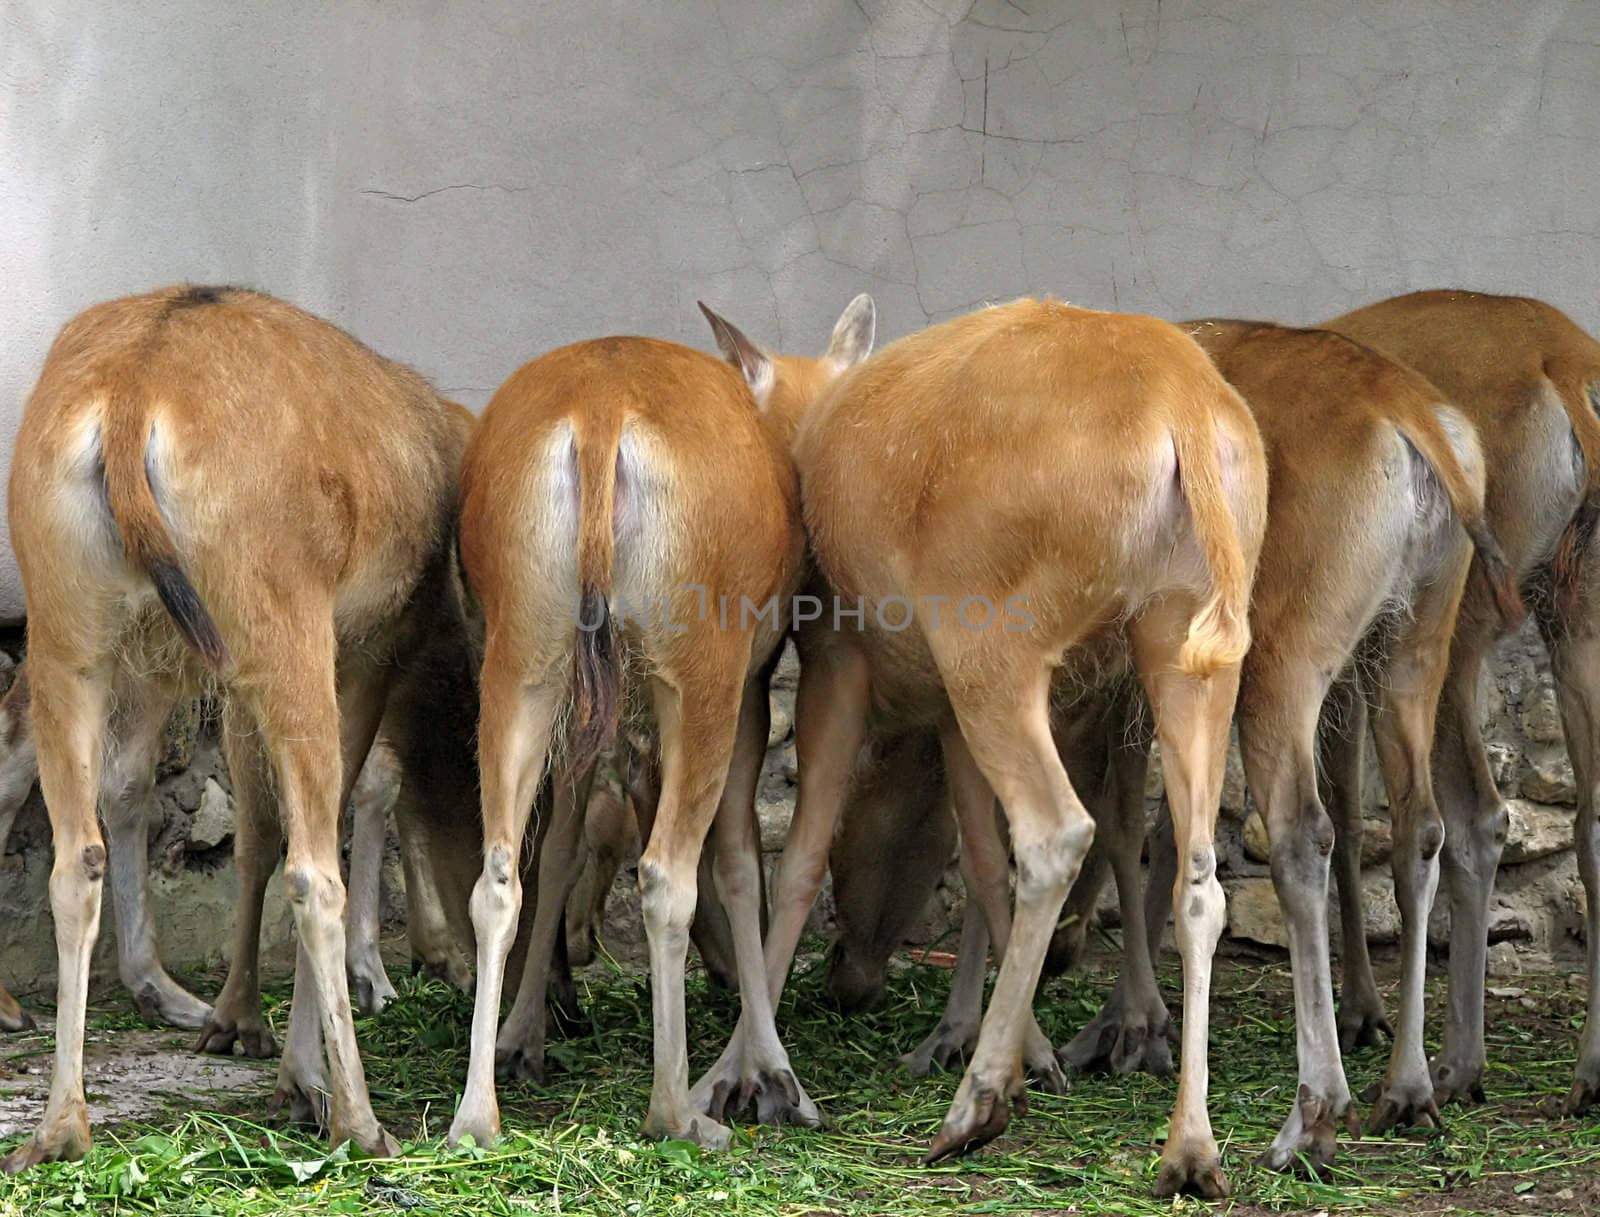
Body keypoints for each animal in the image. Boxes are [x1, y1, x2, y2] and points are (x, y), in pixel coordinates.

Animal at [4, 284, 467, 1170]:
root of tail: (129, 399)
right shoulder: (369, 647)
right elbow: (330, 814)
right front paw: (298, 1069)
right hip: (277, 622)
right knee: (314, 871)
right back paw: (360, 1119)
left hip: (72, 625)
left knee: (78, 847)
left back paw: (60, 1123)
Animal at [448, 302, 876, 1151]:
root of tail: (599, 413)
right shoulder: (750, 683)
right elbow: (740, 861)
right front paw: (774, 1076)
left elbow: (564, 841)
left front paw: (526, 1032)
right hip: (699, 655)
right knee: (665, 871)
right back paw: (676, 1109)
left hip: (526, 644)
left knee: (502, 870)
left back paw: (476, 1114)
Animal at [694, 297, 1267, 1196]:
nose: (847, 984)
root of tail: (1187, 417)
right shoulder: (942, 707)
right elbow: (977, 850)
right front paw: (1029, 1051)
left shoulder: (838, 653)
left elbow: (801, 854)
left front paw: (738, 1073)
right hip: (1188, 645)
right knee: (1197, 872)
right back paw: (1189, 1149)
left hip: (993, 635)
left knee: (1059, 828)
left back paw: (976, 1105)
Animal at [1318, 289, 1600, 1113]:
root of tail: (1564, 363)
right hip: (1575, 606)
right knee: (1591, 818)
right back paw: (1586, 1072)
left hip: (1459, 618)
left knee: (1476, 815)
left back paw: (1450, 1064)